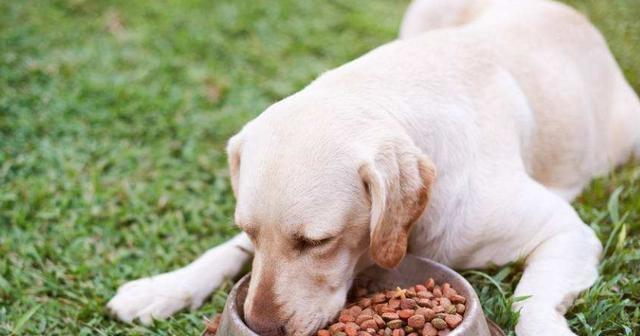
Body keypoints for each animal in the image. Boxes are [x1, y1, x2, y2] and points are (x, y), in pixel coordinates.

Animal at [107, 0, 640, 334]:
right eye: (250, 231)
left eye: (316, 242)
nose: (260, 326)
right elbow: (223, 252)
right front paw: (163, 287)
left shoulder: (568, 233)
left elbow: (533, 298)